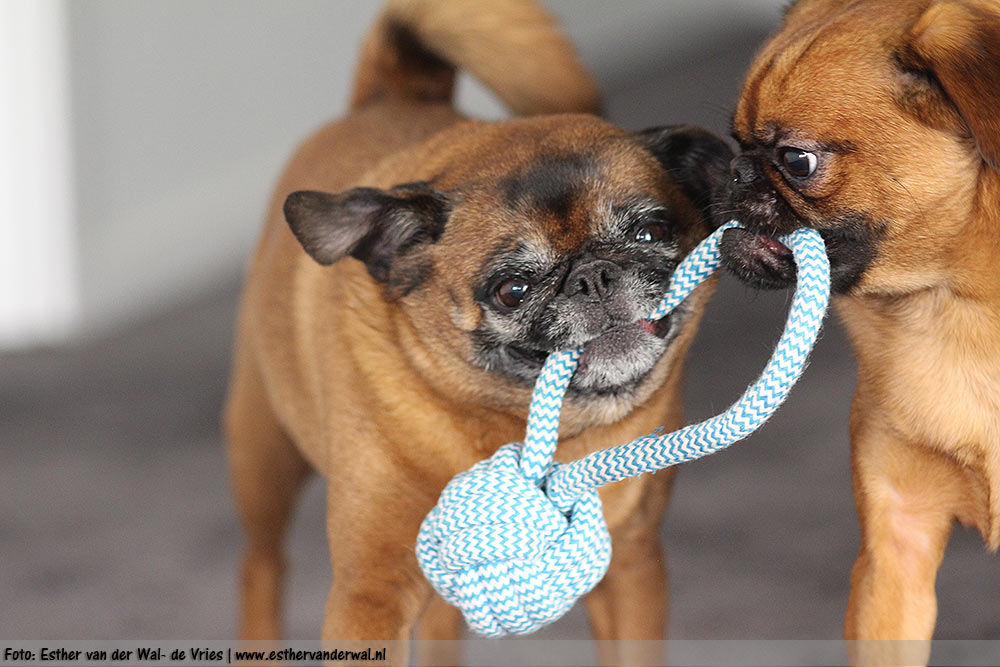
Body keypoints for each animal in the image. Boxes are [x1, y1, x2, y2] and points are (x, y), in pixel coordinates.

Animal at [223, 0, 732, 648]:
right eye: (512, 290)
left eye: (650, 233)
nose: (592, 276)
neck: (505, 423)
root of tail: (386, 93)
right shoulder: (370, 595)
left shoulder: (632, 571)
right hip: (263, 458)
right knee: (260, 563)